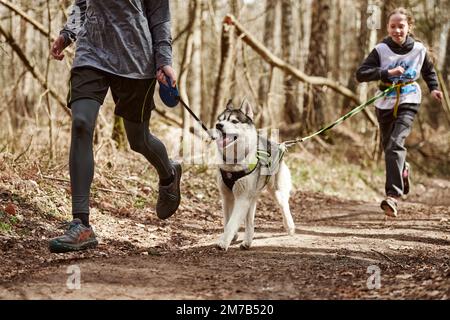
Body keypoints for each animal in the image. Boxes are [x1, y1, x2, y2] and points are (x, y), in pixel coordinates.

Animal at [214, 99, 296, 251]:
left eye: (234, 121)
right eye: (220, 120)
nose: (218, 125)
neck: (234, 161)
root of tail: (277, 145)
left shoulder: (242, 198)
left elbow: (232, 223)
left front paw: (223, 242)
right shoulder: (227, 196)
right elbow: (227, 221)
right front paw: (231, 236)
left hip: (276, 192)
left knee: (284, 206)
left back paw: (290, 227)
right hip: (252, 196)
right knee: (250, 221)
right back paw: (247, 241)